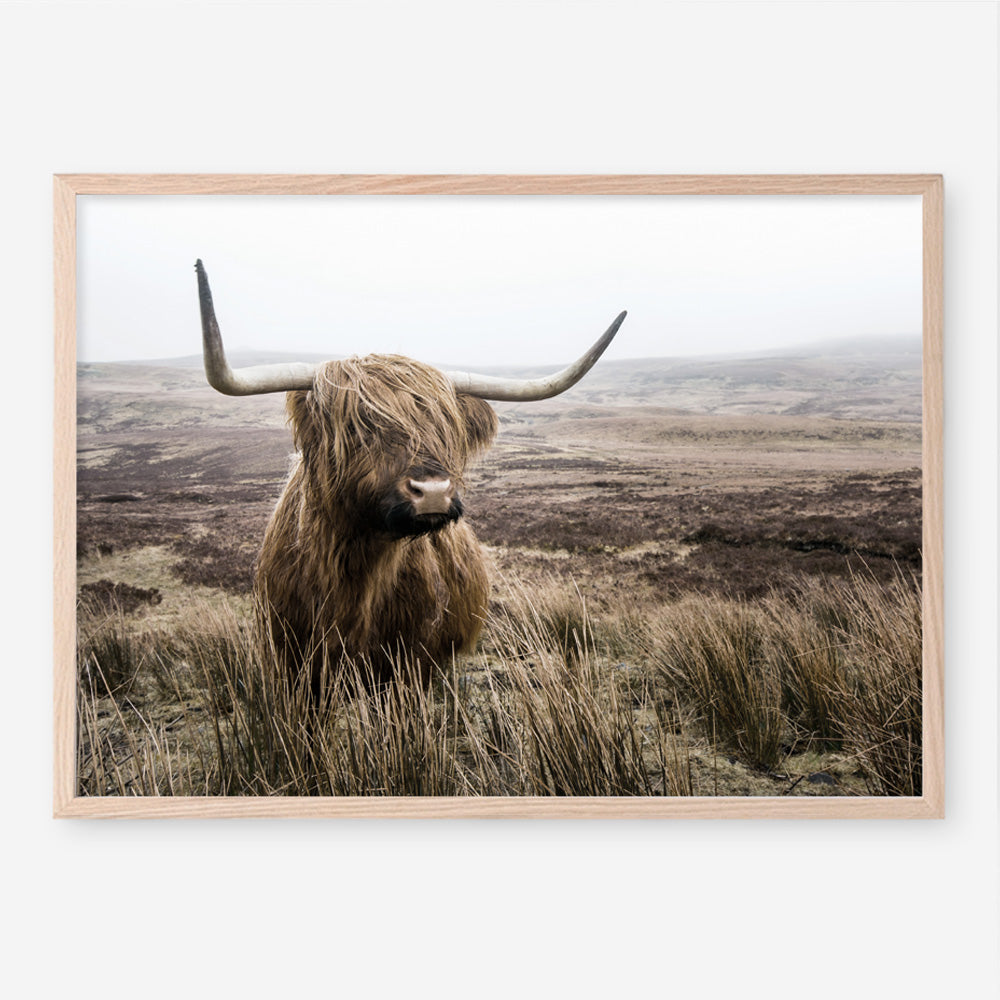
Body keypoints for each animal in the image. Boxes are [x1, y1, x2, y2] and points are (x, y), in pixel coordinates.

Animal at [195, 260, 626, 690]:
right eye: (357, 427)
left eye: (446, 428)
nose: (433, 491)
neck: (356, 574)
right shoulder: (291, 663)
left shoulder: (412, 664)